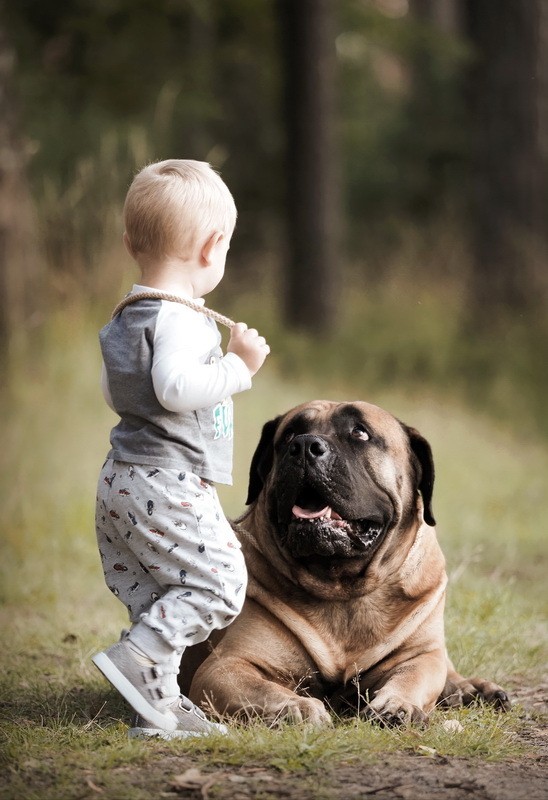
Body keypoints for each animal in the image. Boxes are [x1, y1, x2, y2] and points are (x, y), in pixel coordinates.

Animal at [187, 400, 510, 724]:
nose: (304, 446)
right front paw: (297, 706)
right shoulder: (225, 666)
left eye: (360, 433)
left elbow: (413, 675)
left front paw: (397, 704)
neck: (343, 587)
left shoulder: (421, 655)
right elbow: (263, 690)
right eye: (289, 434)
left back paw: (472, 688)